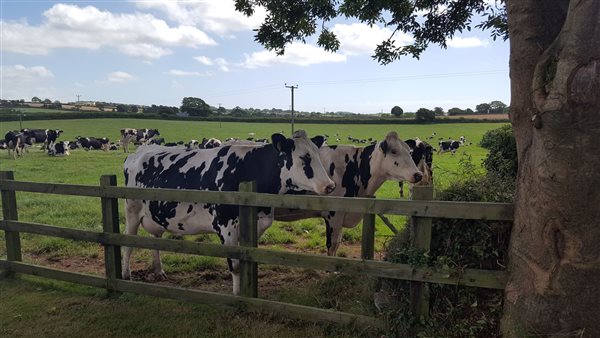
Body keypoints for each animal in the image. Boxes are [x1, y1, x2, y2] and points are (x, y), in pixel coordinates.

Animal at [122, 131, 338, 294]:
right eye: (304, 158)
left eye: (318, 155)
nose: (330, 185)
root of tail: (136, 152)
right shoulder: (226, 226)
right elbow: (235, 264)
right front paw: (238, 294)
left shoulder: (256, 224)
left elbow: (248, 259)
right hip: (131, 212)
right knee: (127, 244)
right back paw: (126, 276)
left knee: (155, 241)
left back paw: (159, 271)